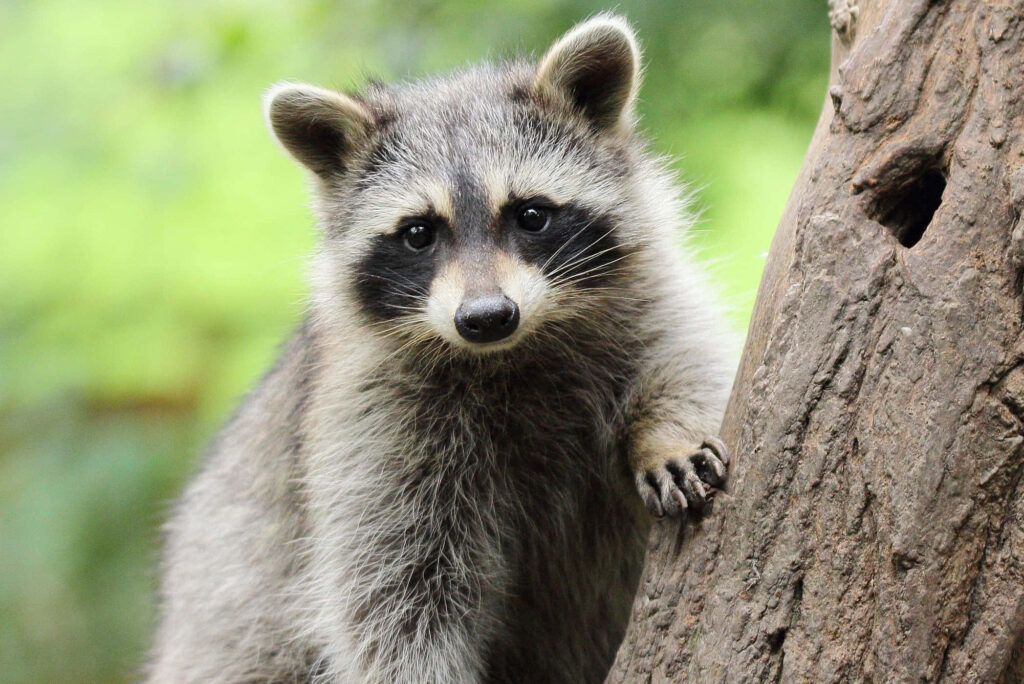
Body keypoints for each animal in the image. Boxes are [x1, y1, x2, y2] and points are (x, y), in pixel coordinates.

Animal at [148, 14, 736, 684]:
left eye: (531, 214)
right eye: (418, 233)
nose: (485, 317)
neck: (512, 351)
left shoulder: (648, 299)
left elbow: (690, 360)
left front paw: (667, 433)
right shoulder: (373, 424)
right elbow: (395, 595)